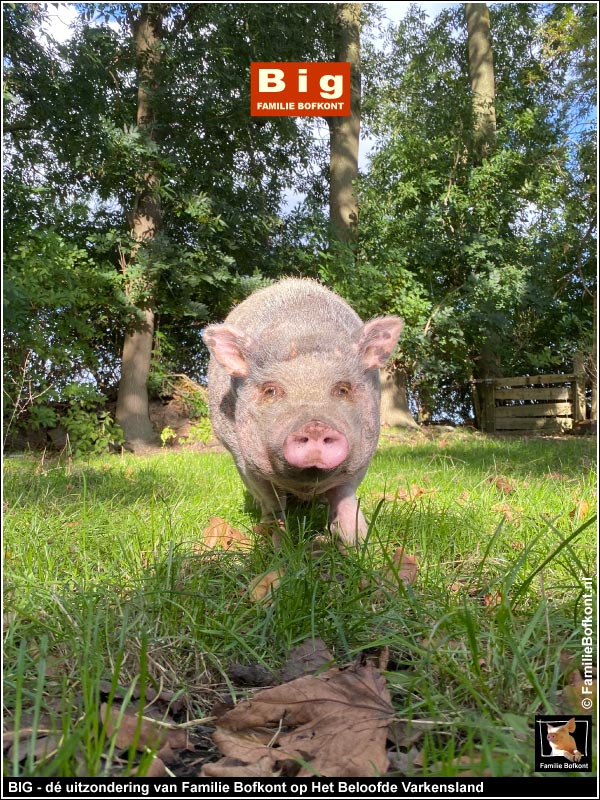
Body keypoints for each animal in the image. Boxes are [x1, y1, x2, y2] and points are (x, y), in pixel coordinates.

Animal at [203, 278, 404, 548]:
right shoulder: (243, 459)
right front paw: (276, 543)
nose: (315, 426)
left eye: (343, 388)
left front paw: (357, 544)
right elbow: (272, 503)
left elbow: (345, 498)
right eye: (270, 390)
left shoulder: (363, 457)